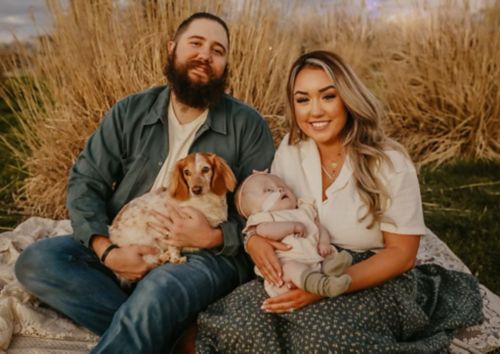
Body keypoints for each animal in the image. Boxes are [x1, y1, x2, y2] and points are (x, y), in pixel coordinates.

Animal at [108, 151, 236, 284]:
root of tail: (112, 232)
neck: (205, 202)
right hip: (147, 241)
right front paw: (176, 258)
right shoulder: (172, 228)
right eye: (187, 172)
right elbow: (174, 247)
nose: (196, 189)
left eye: (206, 169)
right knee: (153, 259)